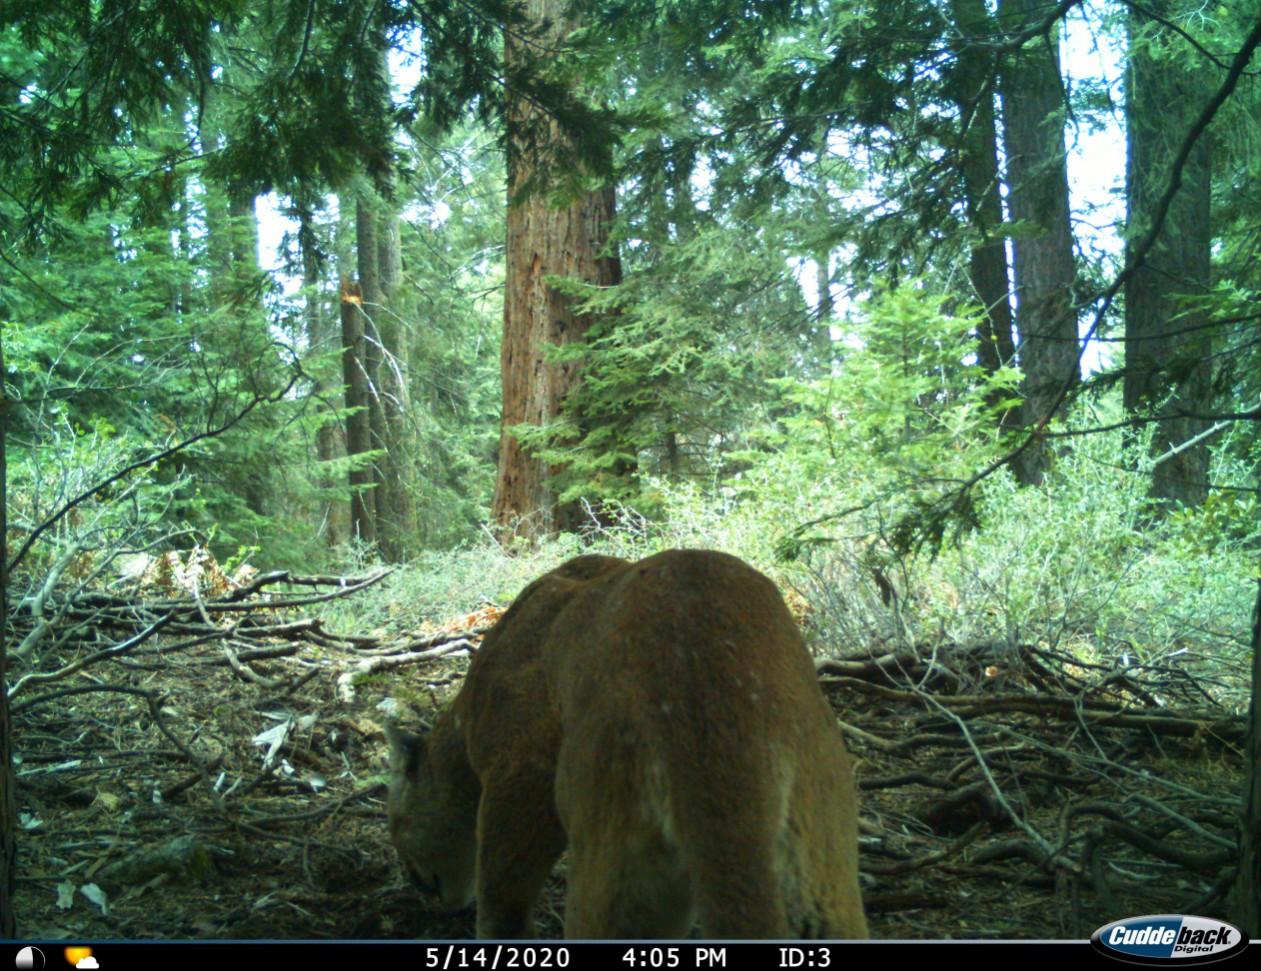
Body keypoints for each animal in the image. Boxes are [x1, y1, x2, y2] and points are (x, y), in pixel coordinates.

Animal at [385, 549, 867, 933]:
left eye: (394, 824)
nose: (415, 880)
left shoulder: (522, 768)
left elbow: (503, 897)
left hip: (610, 855)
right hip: (825, 865)